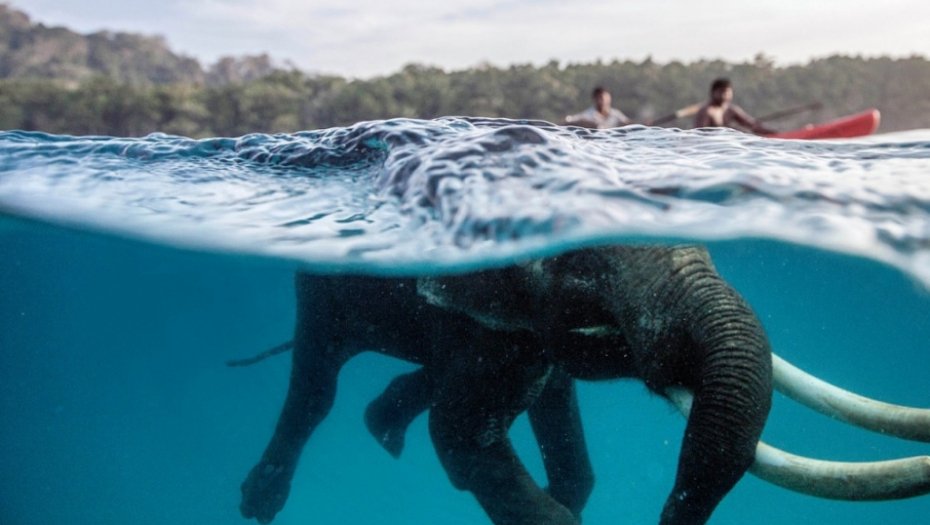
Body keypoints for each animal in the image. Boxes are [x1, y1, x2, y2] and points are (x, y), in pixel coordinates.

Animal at [237, 244, 928, 524]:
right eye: (586, 266)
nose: (668, 514)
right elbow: (461, 436)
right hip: (318, 291)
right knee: (315, 385)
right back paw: (260, 501)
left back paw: (383, 424)